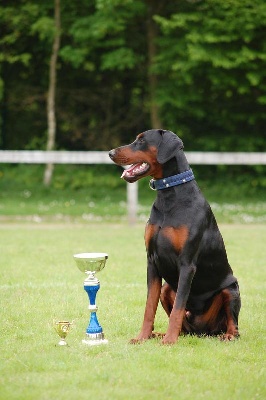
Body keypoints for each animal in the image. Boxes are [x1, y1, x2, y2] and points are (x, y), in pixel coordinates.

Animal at [108, 129, 241, 344]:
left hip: (231, 290)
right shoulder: (152, 261)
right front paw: (142, 337)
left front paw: (170, 341)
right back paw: (158, 334)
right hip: (167, 288)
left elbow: (179, 307)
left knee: (234, 326)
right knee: (183, 326)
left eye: (142, 141)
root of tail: (203, 332)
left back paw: (227, 335)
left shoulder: (187, 264)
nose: (110, 153)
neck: (169, 196)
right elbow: (149, 306)